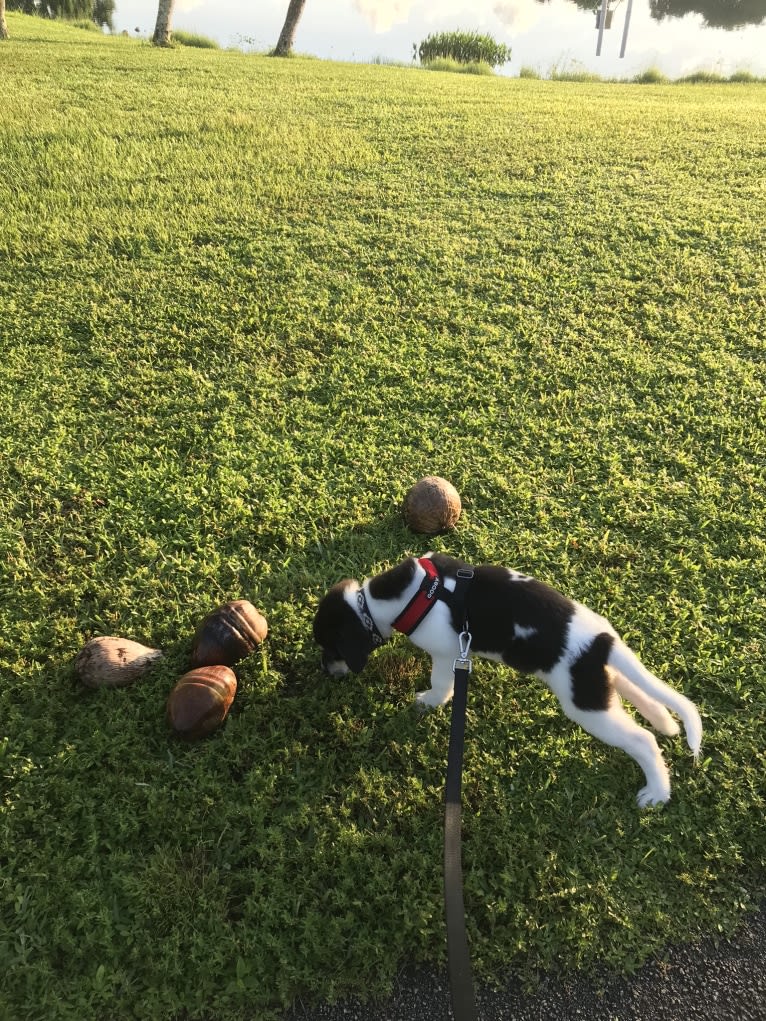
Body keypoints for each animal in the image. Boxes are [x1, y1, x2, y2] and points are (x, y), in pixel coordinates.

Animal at [314, 551, 706, 804]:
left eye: (329, 648)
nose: (325, 673)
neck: (406, 594)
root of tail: (601, 640)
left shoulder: (446, 653)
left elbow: (441, 686)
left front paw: (427, 702)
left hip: (586, 706)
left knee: (642, 741)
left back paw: (657, 792)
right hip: (598, 686)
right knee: (645, 700)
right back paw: (666, 726)